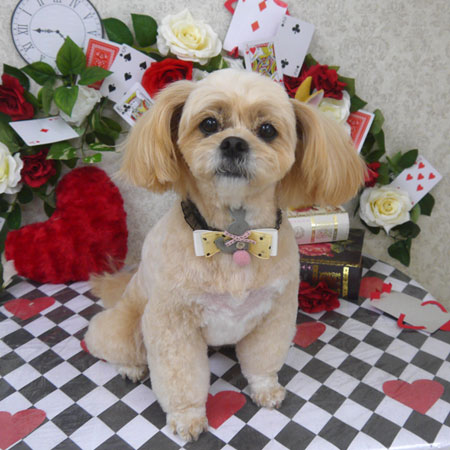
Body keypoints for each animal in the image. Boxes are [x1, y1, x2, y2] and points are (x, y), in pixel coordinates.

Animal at [85, 68, 365, 441]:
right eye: (209, 124)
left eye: (267, 130)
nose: (233, 143)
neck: (235, 238)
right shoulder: (172, 323)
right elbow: (180, 376)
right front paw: (187, 417)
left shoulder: (275, 313)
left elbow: (263, 359)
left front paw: (265, 389)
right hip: (129, 324)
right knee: (108, 340)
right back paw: (129, 366)